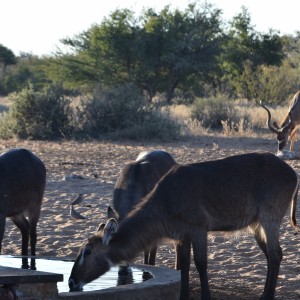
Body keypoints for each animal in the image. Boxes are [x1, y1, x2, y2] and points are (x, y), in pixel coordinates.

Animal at [68, 154, 300, 298]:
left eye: (87, 251)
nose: (71, 282)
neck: (165, 200)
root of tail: (292, 173)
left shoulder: (198, 229)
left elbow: (200, 263)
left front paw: (205, 296)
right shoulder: (181, 236)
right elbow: (183, 266)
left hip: (269, 218)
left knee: (276, 254)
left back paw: (266, 296)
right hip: (256, 225)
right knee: (270, 256)